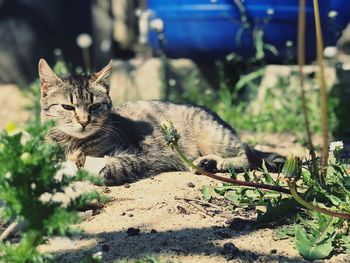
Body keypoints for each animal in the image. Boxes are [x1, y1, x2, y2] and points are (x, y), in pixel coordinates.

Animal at [38, 59, 284, 186]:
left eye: (94, 106)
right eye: (68, 107)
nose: (84, 121)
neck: (74, 143)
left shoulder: (138, 155)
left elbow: (113, 165)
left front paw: (94, 171)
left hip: (214, 136)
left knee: (246, 156)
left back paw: (217, 163)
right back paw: (207, 163)